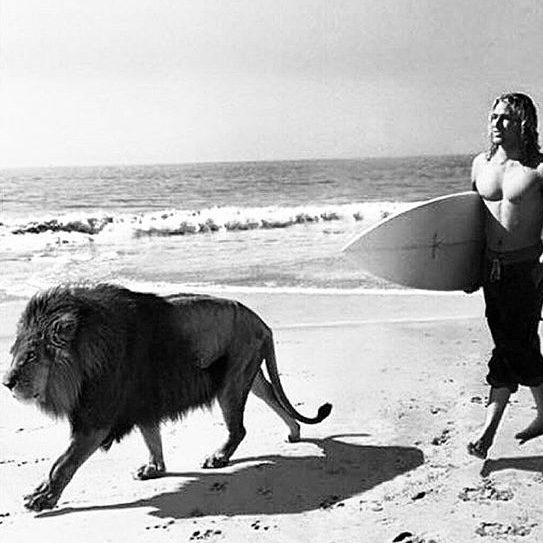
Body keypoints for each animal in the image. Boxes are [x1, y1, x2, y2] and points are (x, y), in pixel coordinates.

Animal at [2, 286, 332, 512]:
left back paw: (219, 457)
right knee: (274, 398)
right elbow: (152, 438)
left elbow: (62, 463)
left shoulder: (97, 420)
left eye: (31, 356)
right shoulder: (142, 400)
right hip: (249, 377)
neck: (84, 355)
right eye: (14, 353)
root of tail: (261, 321)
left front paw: (43, 497)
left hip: (231, 383)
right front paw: (155, 469)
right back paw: (294, 432)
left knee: (239, 429)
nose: (6, 382)